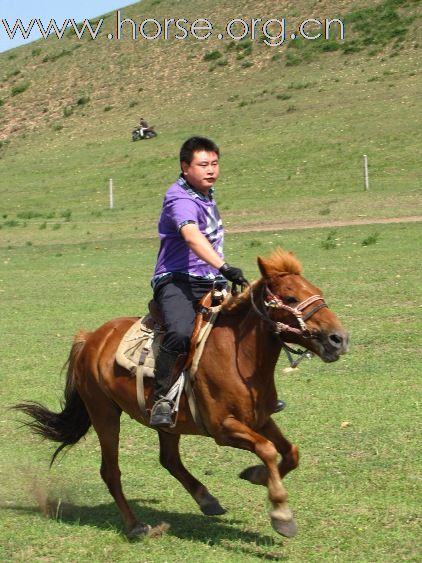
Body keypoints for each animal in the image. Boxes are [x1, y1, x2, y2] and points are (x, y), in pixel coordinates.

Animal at [14, 250, 348, 536]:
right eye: (290, 297)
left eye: (315, 289)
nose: (339, 338)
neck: (237, 356)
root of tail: (91, 338)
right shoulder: (223, 428)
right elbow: (267, 450)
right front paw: (281, 513)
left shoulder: (261, 418)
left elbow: (291, 452)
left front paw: (257, 475)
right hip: (104, 413)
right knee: (111, 471)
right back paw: (136, 526)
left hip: (166, 422)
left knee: (169, 459)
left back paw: (206, 499)